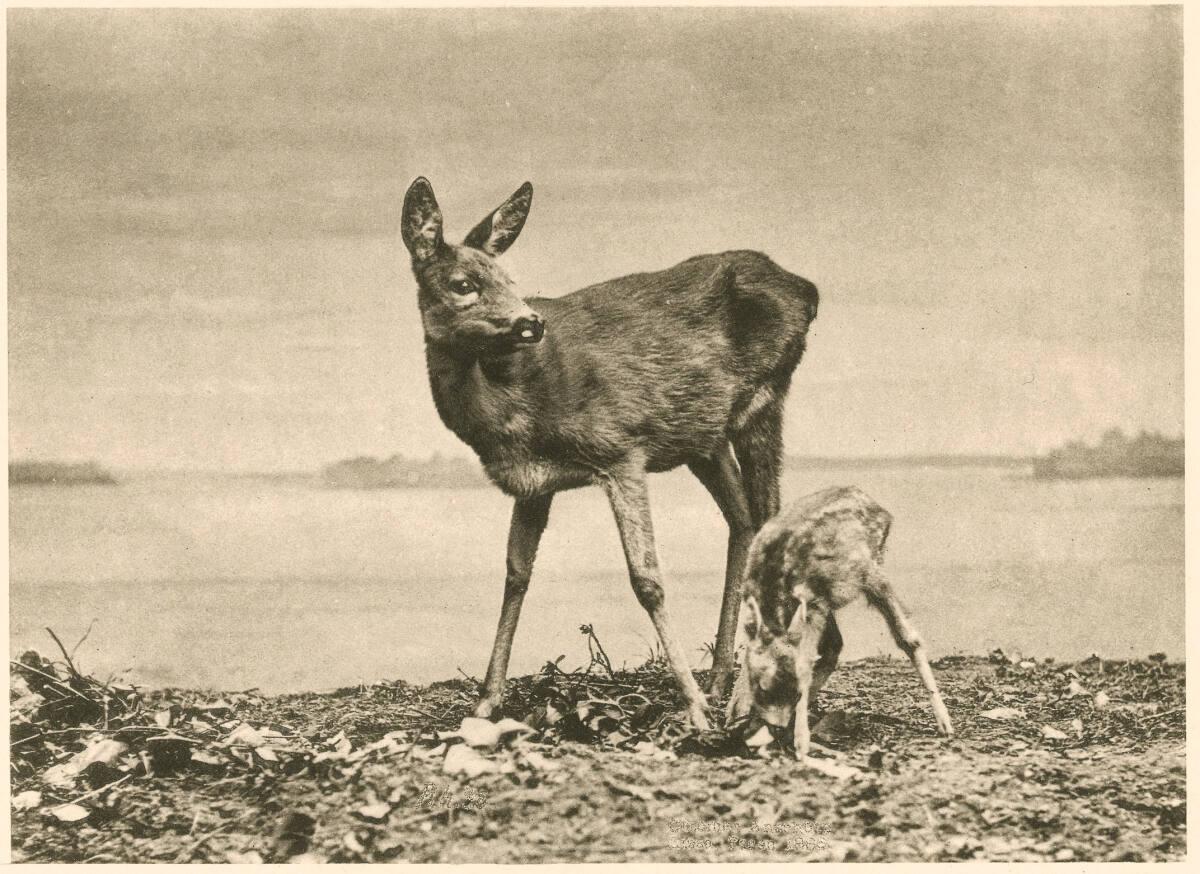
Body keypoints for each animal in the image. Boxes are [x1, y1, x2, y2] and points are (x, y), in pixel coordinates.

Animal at [399, 177, 818, 729]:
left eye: (511, 278)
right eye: (463, 283)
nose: (530, 322)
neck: (512, 406)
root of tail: (807, 289)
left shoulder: (620, 449)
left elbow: (647, 579)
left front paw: (693, 709)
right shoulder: (533, 483)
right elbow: (516, 574)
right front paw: (486, 702)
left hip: (764, 396)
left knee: (768, 515)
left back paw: (739, 699)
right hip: (702, 435)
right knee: (743, 520)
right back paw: (722, 681)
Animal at [732, 485, 954, 758]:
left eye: (796, 692)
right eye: (760, 687)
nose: (776, 728)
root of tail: (875, 504)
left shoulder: (814, 604)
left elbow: (806, 662)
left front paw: (800, 741)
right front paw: (741, 716)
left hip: (870, 571)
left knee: (907, 637)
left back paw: (945, 722)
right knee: (835, 646)